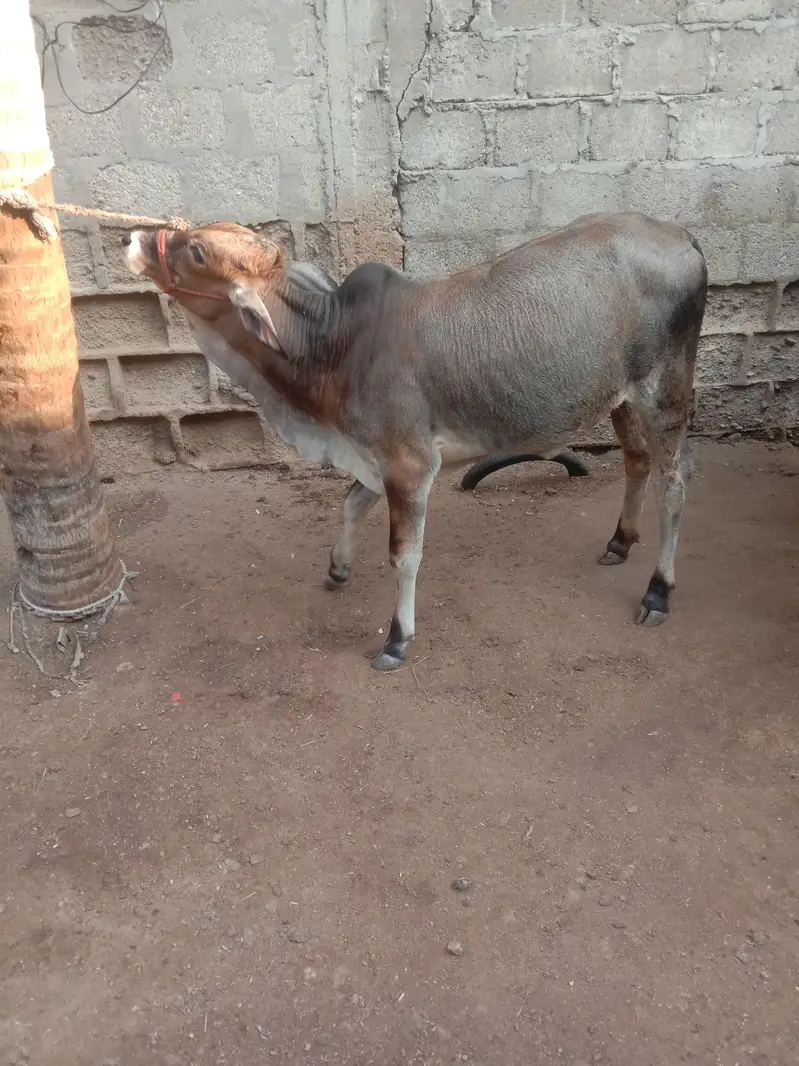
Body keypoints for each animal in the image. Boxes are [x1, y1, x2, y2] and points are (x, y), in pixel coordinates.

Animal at [124, 212, 708, 670]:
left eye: (197, 251)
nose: (133, 238)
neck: (335, 345)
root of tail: (680, 233)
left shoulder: (409, 463)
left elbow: (404, 555)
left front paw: (396, 639)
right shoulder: (375, 457)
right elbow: (351, 503)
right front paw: (338, 567)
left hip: (666, 391)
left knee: (675, 483)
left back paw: (658, 591)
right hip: (621, 398)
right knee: (636, 461)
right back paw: (620, 541)